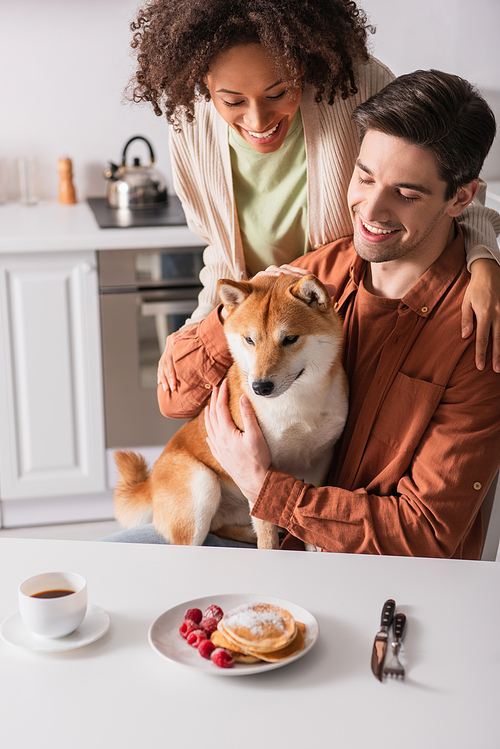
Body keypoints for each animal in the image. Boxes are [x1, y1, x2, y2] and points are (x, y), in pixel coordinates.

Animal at [113, 274, 348, 548]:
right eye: (249, 340)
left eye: (290, 338)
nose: (260, 387)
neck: (297, 404)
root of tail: (149, 484)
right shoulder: (259, 473)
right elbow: (267, 535)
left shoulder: (319, 463)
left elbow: (307, 525)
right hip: (203, 486)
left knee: (223, 527)